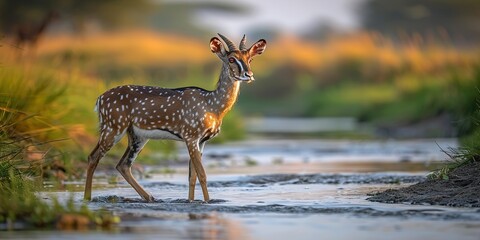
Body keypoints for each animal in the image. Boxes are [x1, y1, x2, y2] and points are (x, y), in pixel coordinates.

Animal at [85, 33, 266, 202]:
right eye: (231, 59)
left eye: (250, 59)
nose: (248, 74)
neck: (213, 107)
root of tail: (99, 99)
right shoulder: (190, 135)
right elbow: (202, 175)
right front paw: (208, 202)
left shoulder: (202, 141)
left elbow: (192, 177)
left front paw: (191, 201)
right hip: (113, 127)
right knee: (93, 157)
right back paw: (88, 198)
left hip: (137, 136)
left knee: (122, 165)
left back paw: (150, 198)